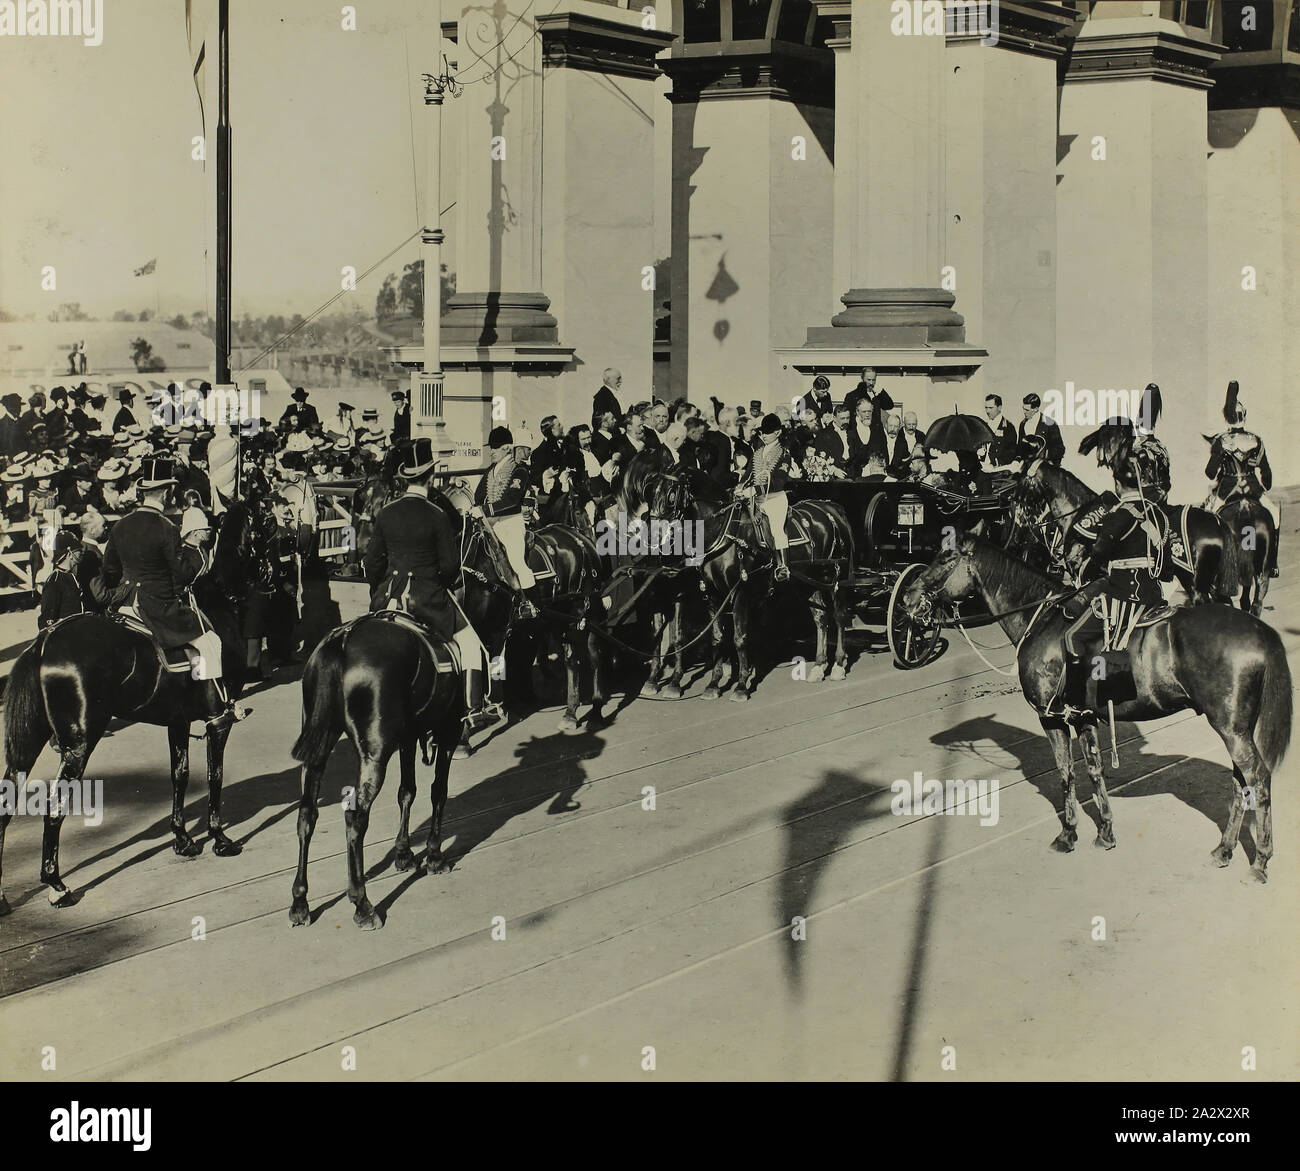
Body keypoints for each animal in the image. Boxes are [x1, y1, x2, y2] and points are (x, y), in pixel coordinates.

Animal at [0, 499, 266, 909]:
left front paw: (183, 840)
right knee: (54, 807)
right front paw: (220, 839)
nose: (271, 573)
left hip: (29, 743)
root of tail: (45, 640)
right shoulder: (217, 721)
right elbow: (214, 776)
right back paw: (57, 886)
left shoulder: (178, 721)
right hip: (79, 744)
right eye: (268, 523)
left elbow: (180, 775)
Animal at [647, 465, 852, 701]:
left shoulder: (740, 593)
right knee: (821, 619)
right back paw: (819, 666)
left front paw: (741, 685)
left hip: (836, 579)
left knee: (839, 617)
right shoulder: (712, 594)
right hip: (809, 583)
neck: (723, 532)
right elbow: (717, 638)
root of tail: (831, 508)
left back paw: (838, 665)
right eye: (651, 492)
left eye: (671, 495)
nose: (652, 536)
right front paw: (713, 684)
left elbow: (740, 638)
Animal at [904, 530, 1289, 878]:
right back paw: (1224, 849)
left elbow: (1065, 773)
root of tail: (1260, 631)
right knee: (1241, 781)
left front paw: (1068, 834)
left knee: (1258, 778)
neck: (1043, 619)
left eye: (944, 557)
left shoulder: (1052, 718)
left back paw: (1260, 860)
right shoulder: (1084, 717)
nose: (908, 597)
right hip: (1237, 729)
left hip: (1231, 729)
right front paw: (1105, 831)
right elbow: (1093, 770)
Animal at [1008, 457, 1242, 603]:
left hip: (1194, 582)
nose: (1016, 508)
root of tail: (1216, 521)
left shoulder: (1080, 572)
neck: (1078, 512)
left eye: (1022, 478)